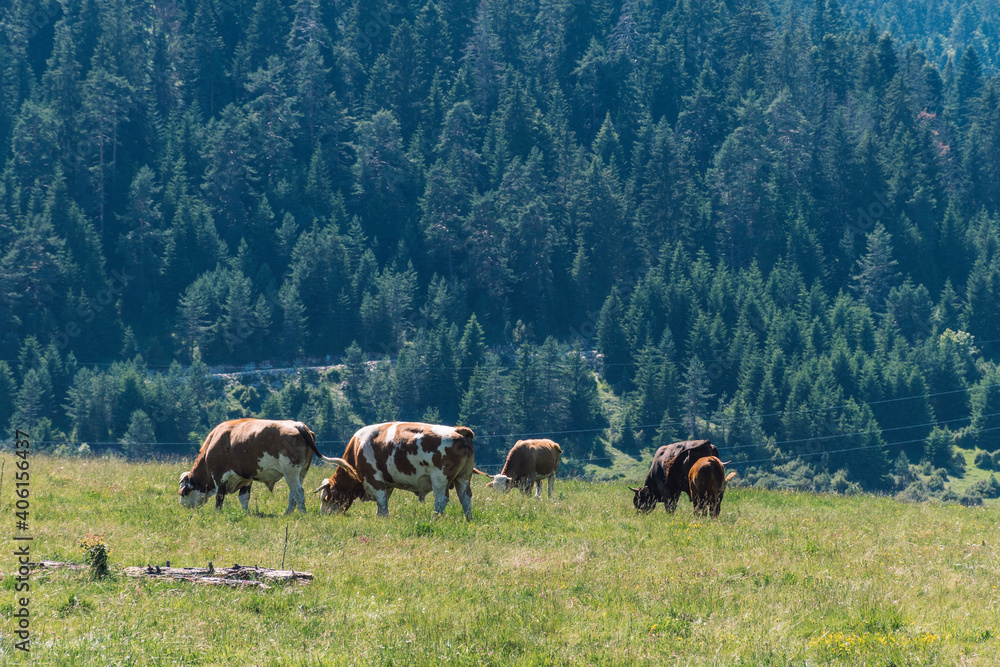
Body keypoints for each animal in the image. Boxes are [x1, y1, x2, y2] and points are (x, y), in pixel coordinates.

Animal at [179, 418, 351, 514]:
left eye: (183, 492)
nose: (183, 506)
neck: (215, 441)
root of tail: (298, 425)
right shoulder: (246, 478)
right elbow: (244, 498)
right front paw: (246, 513)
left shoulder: (219, 476)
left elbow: (219, 497)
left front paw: (217, 513)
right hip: (302, 471)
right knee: (293, 494)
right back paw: (288, 513)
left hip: (291, 471)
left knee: (298, 492)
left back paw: (302, 513)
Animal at [313, 422, 476, 520]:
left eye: (326, 498)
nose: (324, 516)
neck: (357, 448)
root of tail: (458, 430)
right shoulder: (388, 483)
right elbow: (383, 502)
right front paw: (379, 516)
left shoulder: (374, 478)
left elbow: (381, 500)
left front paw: (384, 517)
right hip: (464, 477)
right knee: (465, 498)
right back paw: (468, 519)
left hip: (440, 479)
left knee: (441, 499)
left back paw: (434, 518)